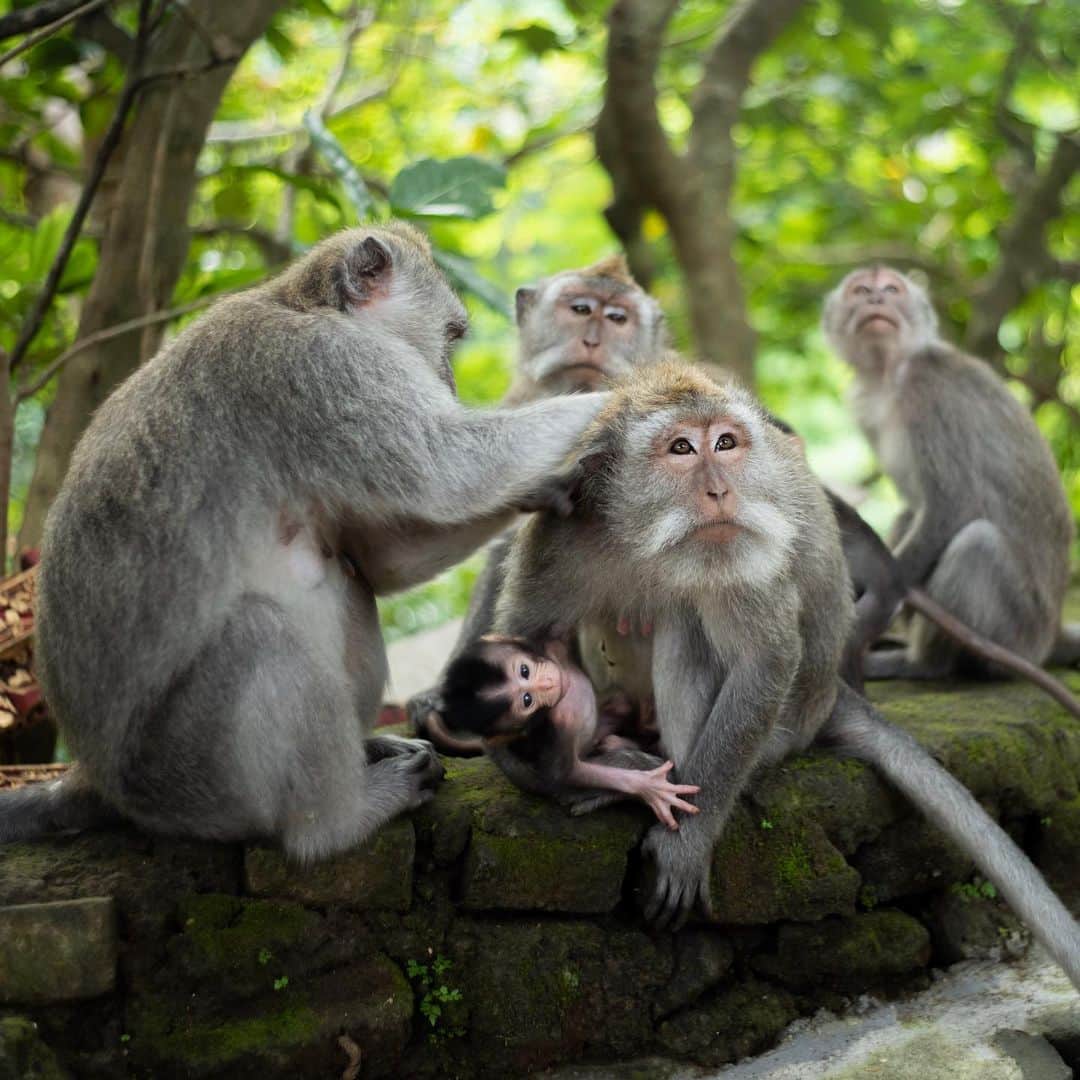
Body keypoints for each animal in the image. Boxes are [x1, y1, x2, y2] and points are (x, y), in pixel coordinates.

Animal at [0, 223, 609, 860]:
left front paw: (547, 484)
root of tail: (93, 780)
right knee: (260, 637)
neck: (308, 307)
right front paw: (613, 399)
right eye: (451, 335)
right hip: (185, 780)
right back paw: (338, 822)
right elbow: (451, 469)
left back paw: (364, 753)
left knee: (344, 574)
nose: (448, 381)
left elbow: (384, 559)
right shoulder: (320, 371)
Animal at [439, 634, 699, 829]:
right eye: (527, 700)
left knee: (619, 703)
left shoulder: (555, 649)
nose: (546, 684)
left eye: (525, 670)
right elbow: (568, 772)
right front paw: (649, 787)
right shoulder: (557, 727)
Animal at [487, 360, 1080, 988]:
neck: (644, 538)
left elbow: (763, 659)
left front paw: (685, 841)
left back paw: (663, 780)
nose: (720, 491)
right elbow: (517, 649)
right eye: (680, 448)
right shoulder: (560, 531)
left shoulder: (739, 548)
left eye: (725, 443)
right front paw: (564, 775)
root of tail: (828, 696)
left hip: (782, 731)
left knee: (684, 621)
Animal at [822, 265, 1076, 681]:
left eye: (891, 289)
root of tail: (1052, 634)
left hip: (1021, 633)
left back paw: (924, 664)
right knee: (909, 515)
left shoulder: (928, 388)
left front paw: (876, 594)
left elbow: (953, 503)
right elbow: (916, 506)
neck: (889, 375)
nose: (876, 298)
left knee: (978, 544)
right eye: (860, 291)